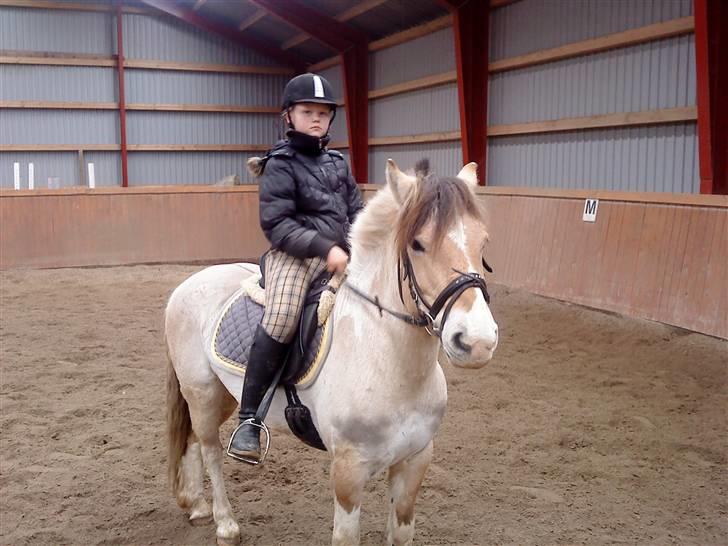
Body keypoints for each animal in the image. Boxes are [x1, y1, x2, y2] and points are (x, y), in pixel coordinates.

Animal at [164, 158, 499, 545]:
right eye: (417, 244)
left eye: (484, 241)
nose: (477, 342)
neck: (389, 362)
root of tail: (190, 282)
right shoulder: (348, 472)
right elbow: (346, 537)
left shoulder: (414, 461)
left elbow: (400, 533)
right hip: (202, 393)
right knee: (211, 451)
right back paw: (225, 523)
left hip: (222, 396)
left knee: (191, 439)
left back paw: (196, 505)